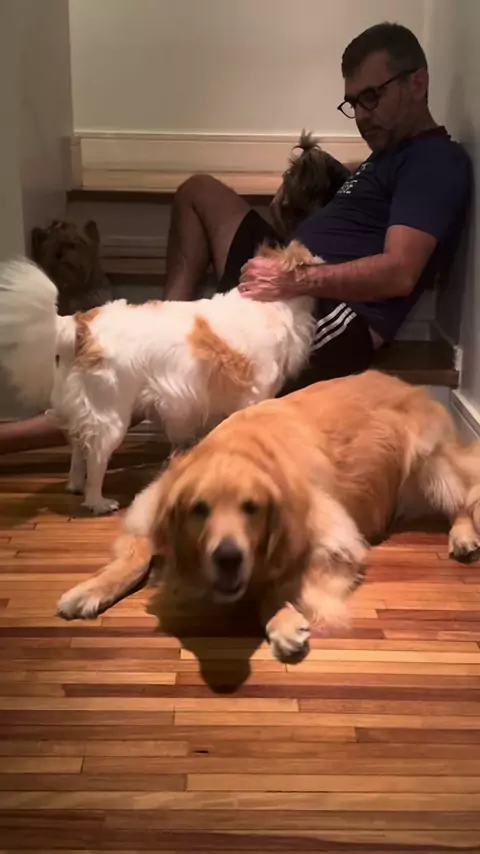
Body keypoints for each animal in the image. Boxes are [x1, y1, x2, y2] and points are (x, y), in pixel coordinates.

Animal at [0, 241, 321, 514]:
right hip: (111, 416)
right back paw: (98, 502)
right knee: (96, 459)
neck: (269, 305)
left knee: (79, 449)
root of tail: (78, 325)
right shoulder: (254, 396)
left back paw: (76, 486)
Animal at [57, 370, 480, 661]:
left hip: (430, 462)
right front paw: (90, 589)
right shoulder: (150, 511)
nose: (228, 558)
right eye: (199, 510)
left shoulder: (335, 541)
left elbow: (275, 587)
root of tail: (408, 383)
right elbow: (133, 557)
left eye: (252, 508)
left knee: (464, 497)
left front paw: (282, 620)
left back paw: (463, 537)